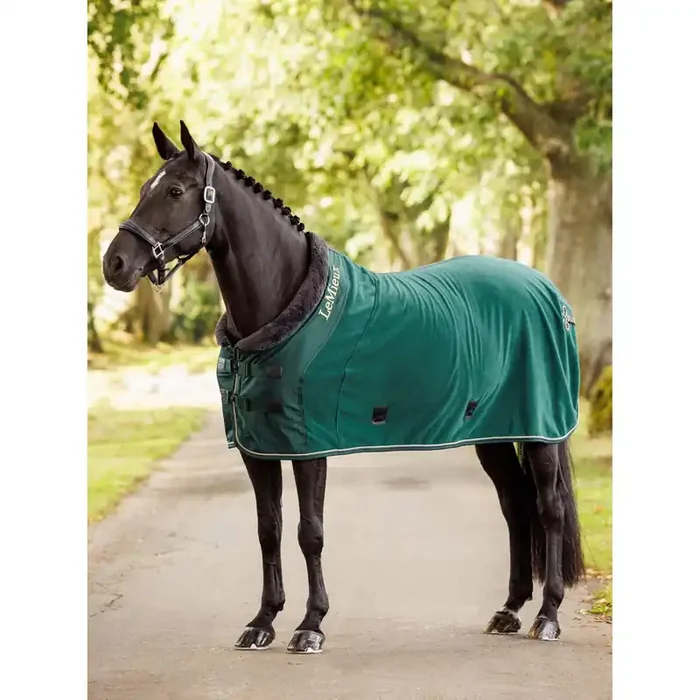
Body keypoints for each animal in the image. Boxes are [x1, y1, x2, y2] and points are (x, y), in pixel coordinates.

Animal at [101, 120, 585, 654]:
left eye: (175, 190)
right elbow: (269, 529)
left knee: (548, 508)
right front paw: (263, 621)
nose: (115, 264)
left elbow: (309, 532)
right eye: (143, 188)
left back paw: (547, 615)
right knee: (514, 506)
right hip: (494, 433)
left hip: (541, 431)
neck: (286, 306)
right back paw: (509, 610)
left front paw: (310, 625)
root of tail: (549, 292)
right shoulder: (258, 448)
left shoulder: (310, 446)